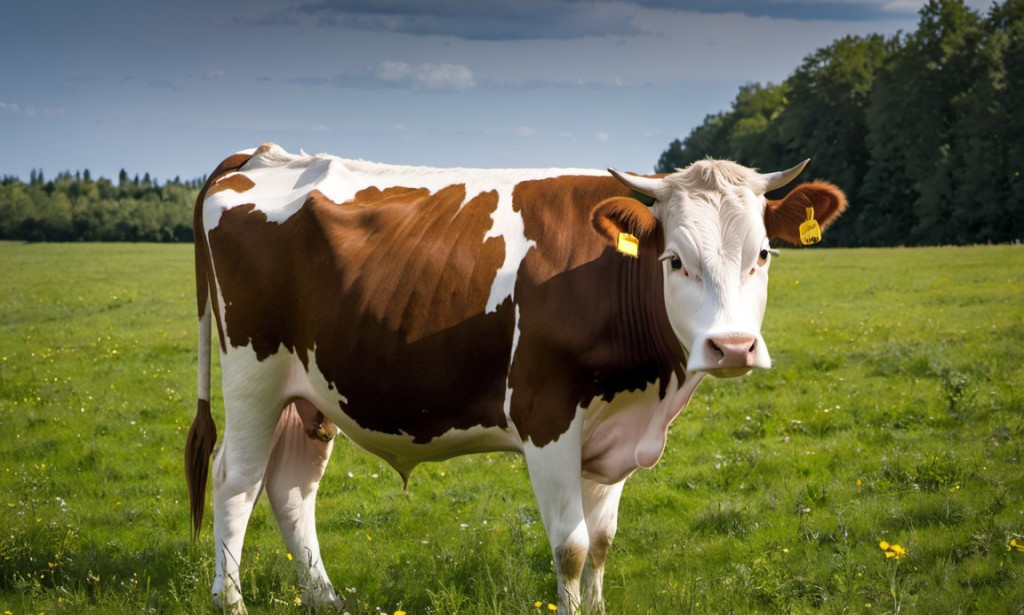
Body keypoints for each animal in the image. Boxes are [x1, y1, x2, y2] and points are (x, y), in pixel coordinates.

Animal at [185, 143, 846, 614]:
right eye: (675, 260)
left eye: (763, 255)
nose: (732, 347)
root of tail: (264, 154)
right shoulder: (545, 416)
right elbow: (572, 548)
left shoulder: (613, 430)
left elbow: (602, 542)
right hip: (252, 373)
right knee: (236, 480)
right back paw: (231, 602)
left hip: (310, 392)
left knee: (291, 487)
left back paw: (325, 599)